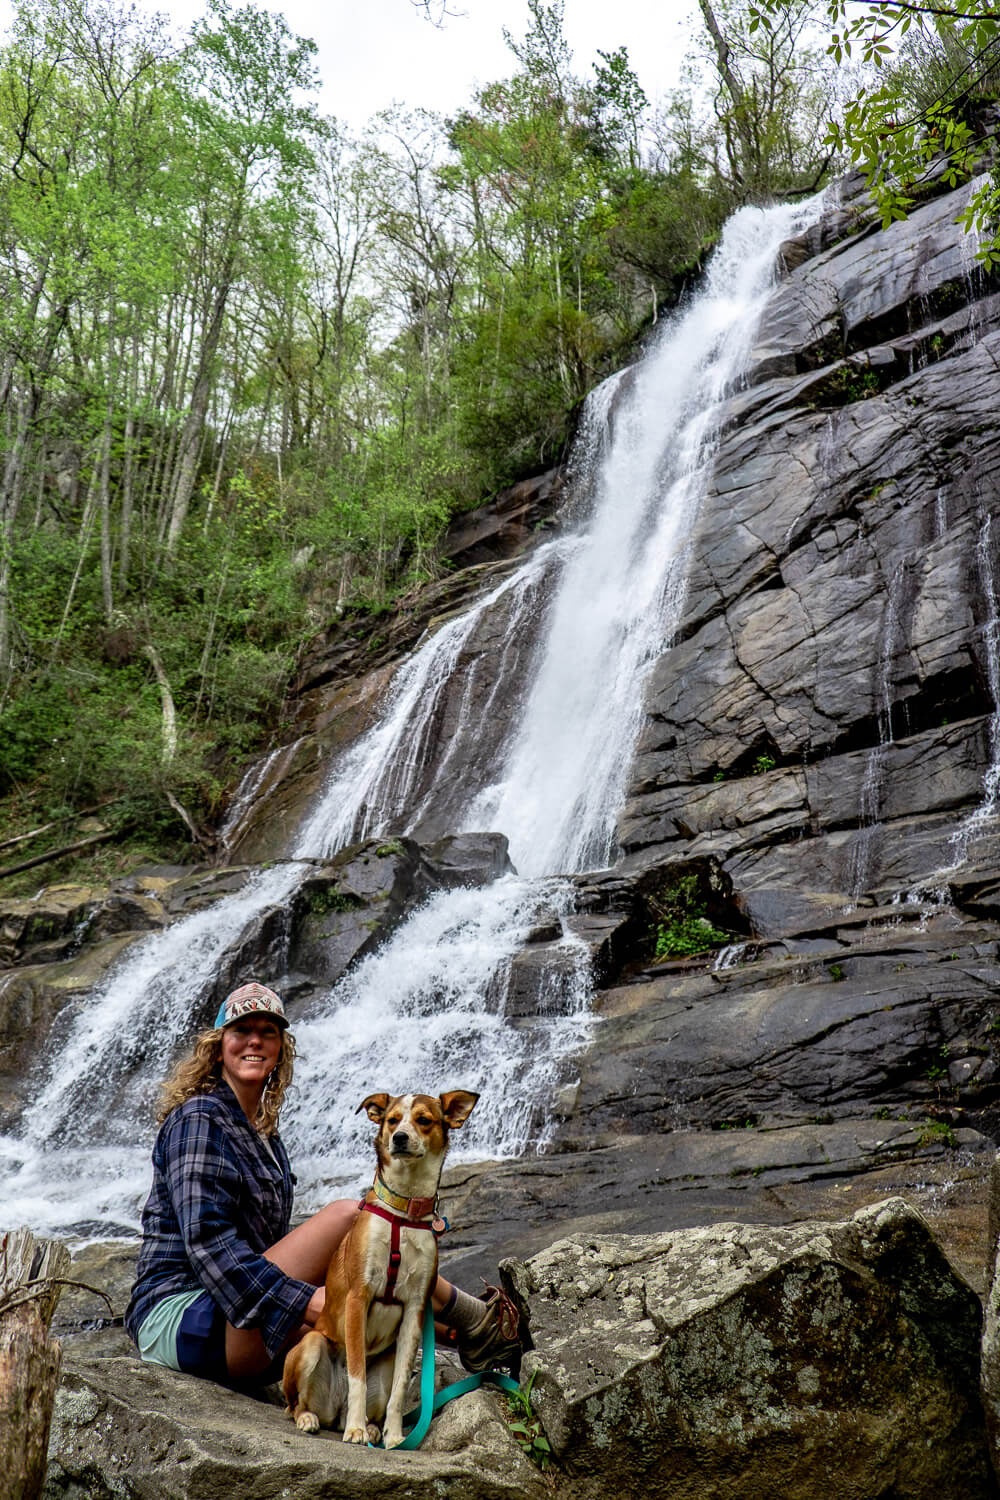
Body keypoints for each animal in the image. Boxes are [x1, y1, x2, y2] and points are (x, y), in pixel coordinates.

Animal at [283, 1092, 479, 1440]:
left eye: (423, 1120)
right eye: (392, 1120)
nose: (399, 1137)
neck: (404, 1212)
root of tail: (335, 1411)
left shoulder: (415, 1309)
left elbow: (400, 1389)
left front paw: (395, 1436)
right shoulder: (358, 1297)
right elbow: (357, 1375)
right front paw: (355, 1430)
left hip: (384, 1366)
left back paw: (373, 1429)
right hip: (311, 1345)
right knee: (295, 1404)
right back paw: (316, 1419)